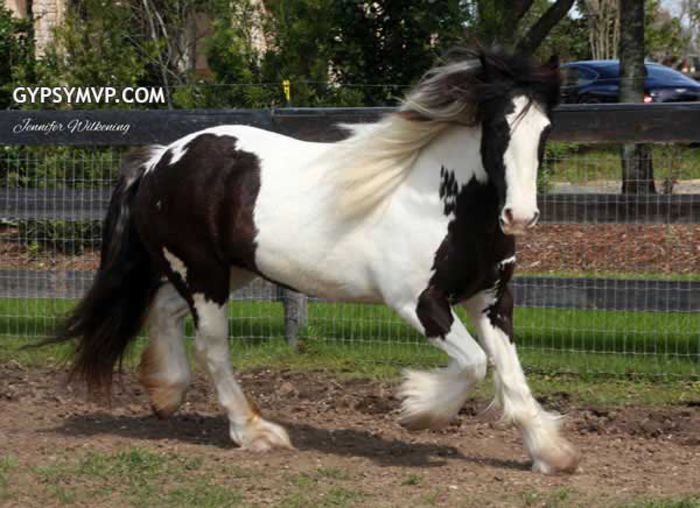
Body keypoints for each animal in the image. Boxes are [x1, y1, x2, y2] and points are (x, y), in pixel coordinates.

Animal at [45, 48, 580, 476]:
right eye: (497, 127)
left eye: (545, 129)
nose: (520, 216)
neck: (439, 201)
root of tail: (161, 157)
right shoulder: (419, 303)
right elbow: (473, 365)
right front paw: (417, 410)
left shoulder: (490, 300)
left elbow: (510, 375)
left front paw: (552, 455)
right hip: (203, 274)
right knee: (211, 347)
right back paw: (255, 432)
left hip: (224, 272)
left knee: (163, 310)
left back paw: (166, 393)